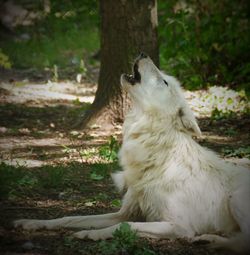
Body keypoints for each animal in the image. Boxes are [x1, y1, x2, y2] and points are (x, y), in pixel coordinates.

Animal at [14, 53, 249, 253]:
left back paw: (212, 240)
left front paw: (90, 234)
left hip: (236, 197)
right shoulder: (124, 211)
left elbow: (127, 226)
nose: (143, 53)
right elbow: (72, 218)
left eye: (164, 82)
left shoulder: (179, 226)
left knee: (243, 242)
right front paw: (33, 223)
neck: (158, 158)